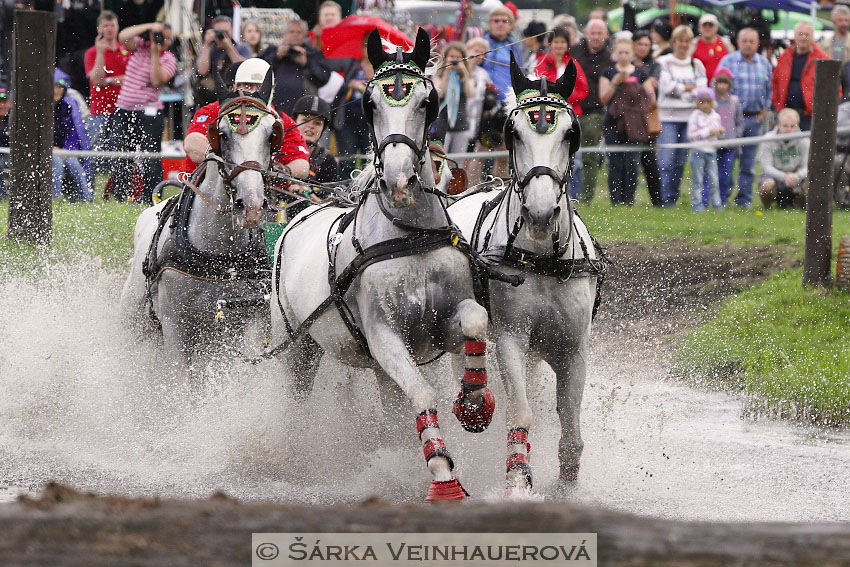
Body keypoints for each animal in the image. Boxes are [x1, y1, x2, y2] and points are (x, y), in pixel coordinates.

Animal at [120, 71, 282, 364]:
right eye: (222, 135)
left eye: (270, 135)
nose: (251, 205)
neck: (220, 256)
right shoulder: (175, 325)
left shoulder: (248, 323)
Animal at [268, 30, 494, 502]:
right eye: (369, 103)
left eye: (427, 102)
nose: (398, 180)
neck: (409, 236)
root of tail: (297, 215)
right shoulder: (385, 336)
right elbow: (423, 394)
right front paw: (443, 477)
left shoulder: (439, 328)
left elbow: (474, 321)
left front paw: (474, 402)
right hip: (297, 347)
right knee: (297, 395)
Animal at [448, 55, 608, 494]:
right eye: (513, 132)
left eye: (571, 134)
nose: (539, 212)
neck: (543, 260)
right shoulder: (511, 338)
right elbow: (520, 412)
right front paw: (518, 478)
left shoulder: (573, 348)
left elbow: (570, 425)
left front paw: (567, 483)